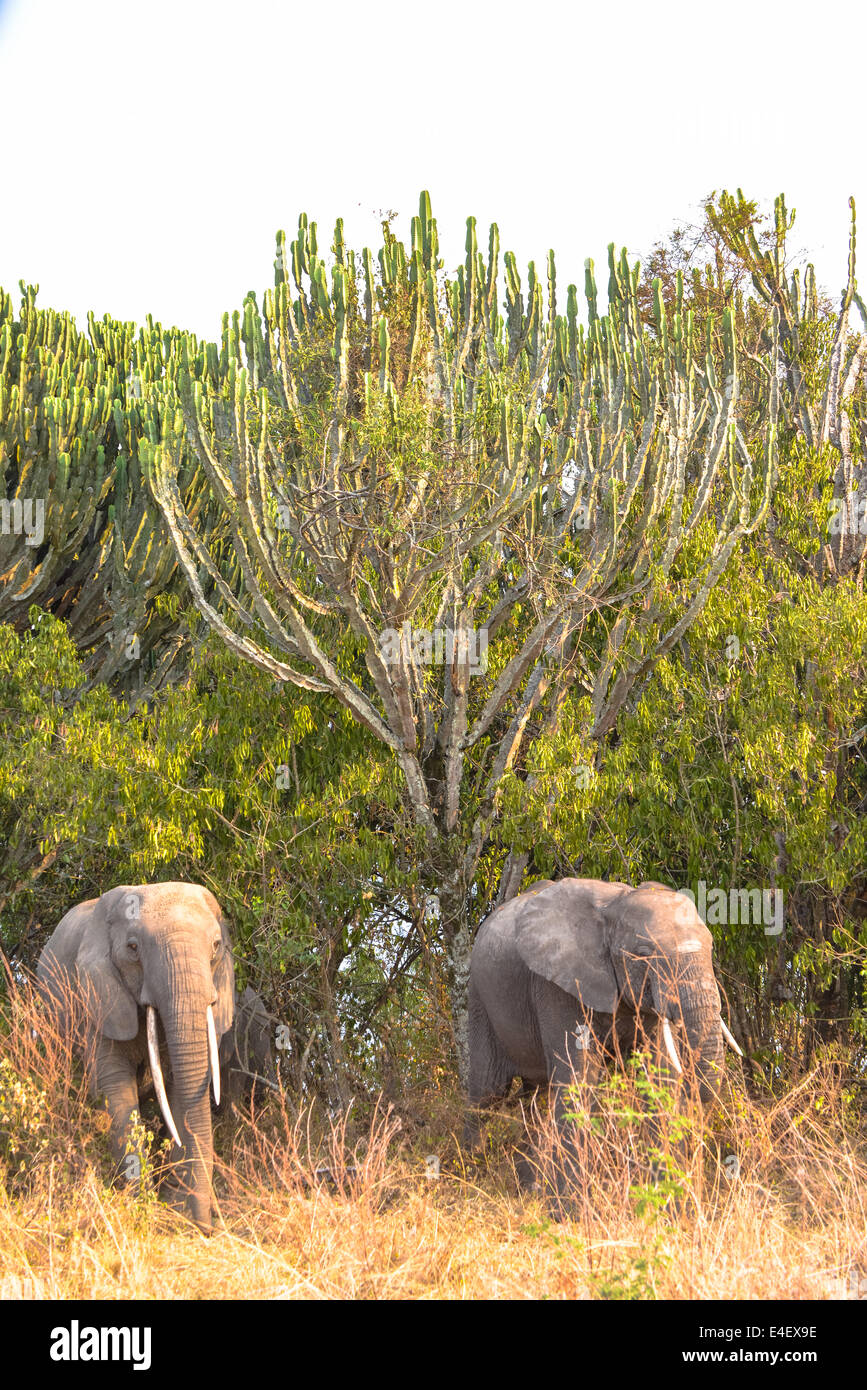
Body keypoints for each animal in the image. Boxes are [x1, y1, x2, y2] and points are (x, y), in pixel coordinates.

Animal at [37, 884, 233, 1234]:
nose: (206, 1228)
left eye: (215, 946)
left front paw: (176, 1211)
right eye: (132, 949)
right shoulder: (97, 995)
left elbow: (179, 1087)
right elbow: (114, 1086)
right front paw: (141, 1208)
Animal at [464, 878, 739, 1184]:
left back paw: (530, 1185)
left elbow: (658, 1075)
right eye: (644, 955)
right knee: (487, 1091)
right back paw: (472, 1171)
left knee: (537, 1097)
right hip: (480, 998)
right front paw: (574, 1195)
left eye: (711, 948)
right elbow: (579, 1078)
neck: (615, 907)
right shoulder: (556, 985)